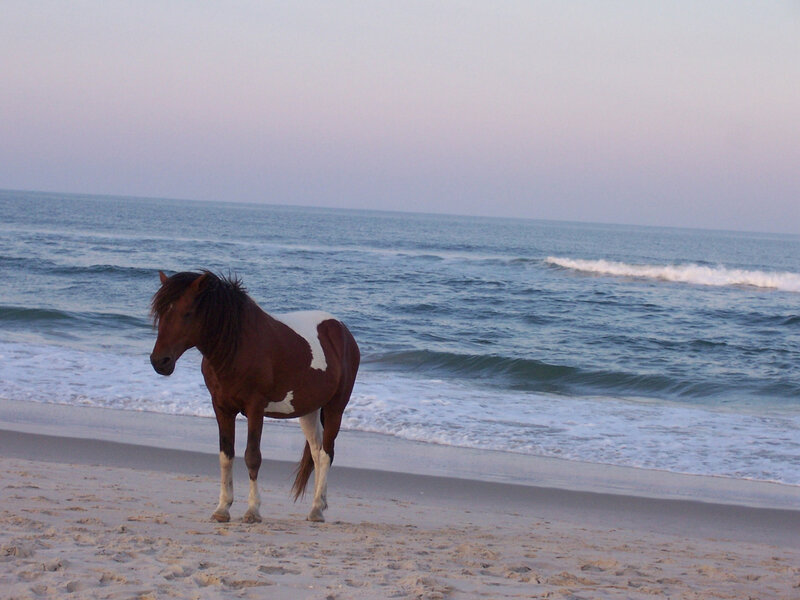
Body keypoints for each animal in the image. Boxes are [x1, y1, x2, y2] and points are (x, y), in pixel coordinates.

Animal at [149, 270, 360, 523]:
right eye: (161, 313)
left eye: (187, 313)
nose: (160, 361)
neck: (237, 347)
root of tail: (343, 331)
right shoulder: (221, 408)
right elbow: (226, 456)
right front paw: (222, 509)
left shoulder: (255, 408)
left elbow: (252, 456)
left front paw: (252, 511)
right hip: (309, 412)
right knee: (317, 454)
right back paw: (319, 505)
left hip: (335, 408)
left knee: (327, 454)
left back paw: (317, 508)